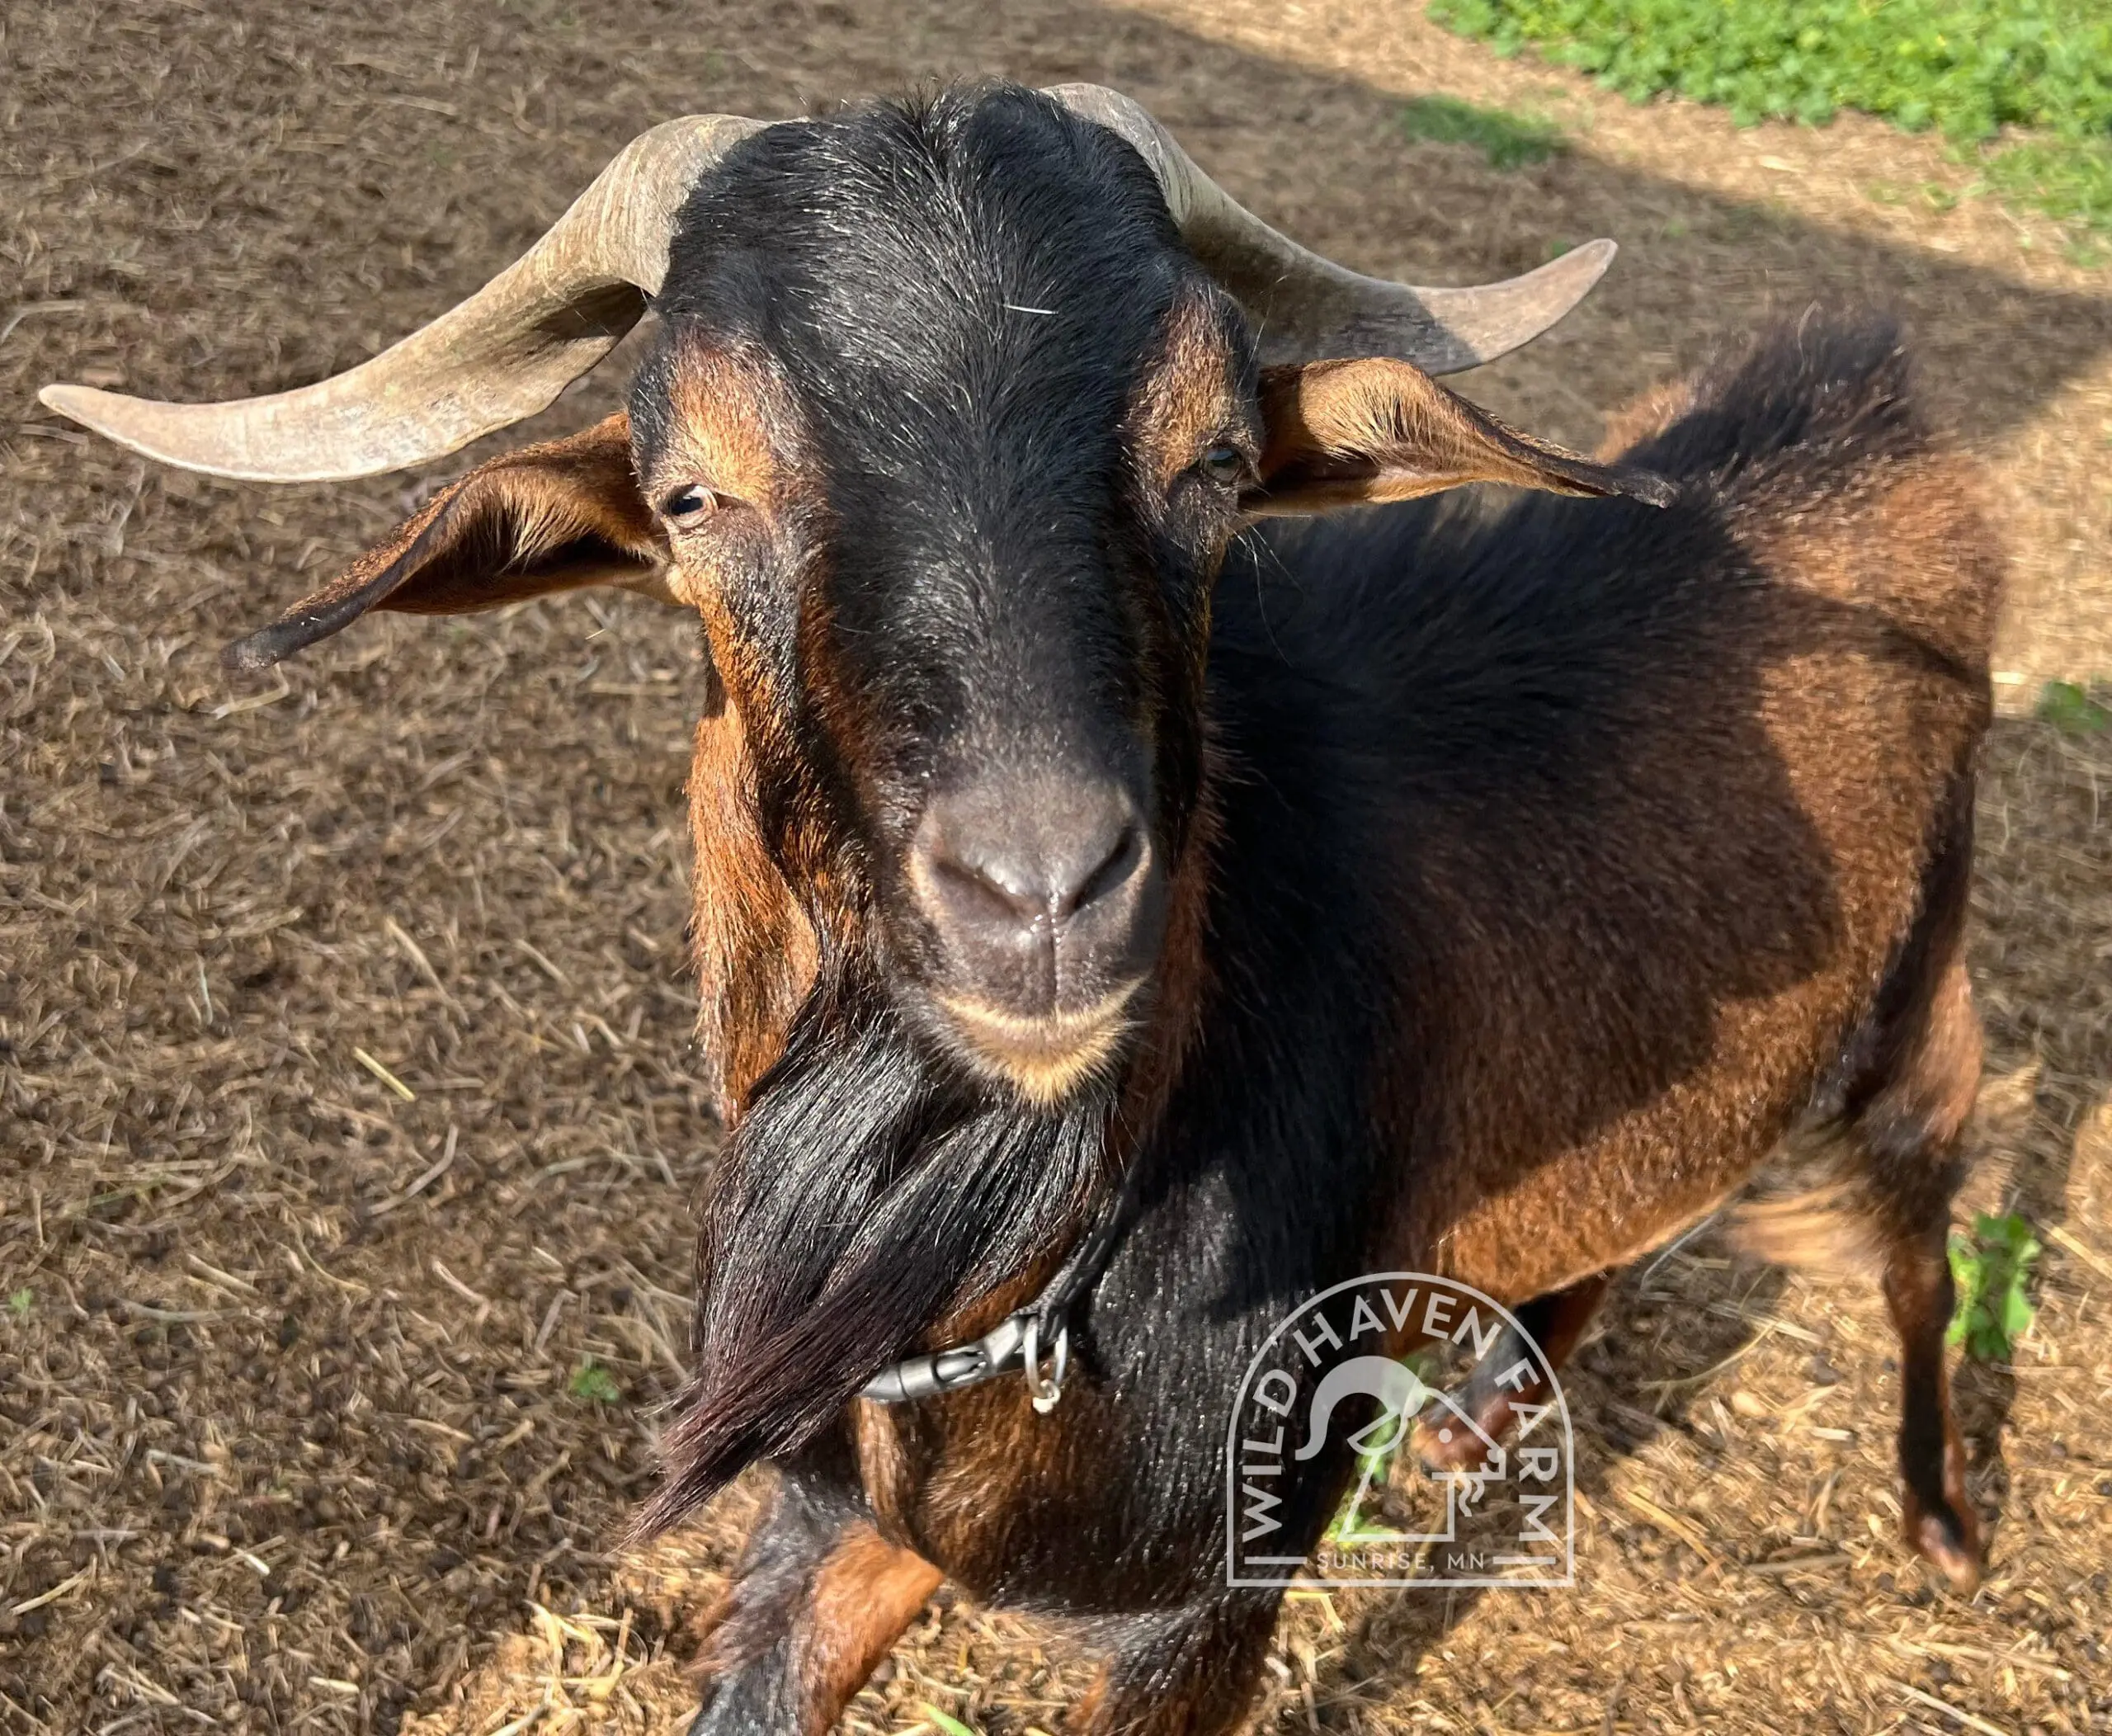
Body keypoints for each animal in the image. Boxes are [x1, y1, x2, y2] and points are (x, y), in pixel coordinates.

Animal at [45, 81, 1993, 1736]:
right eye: (691, 492)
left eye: (1217, 460)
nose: (1039, 894)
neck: (1015, 1276)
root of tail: (1871, 399)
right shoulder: (828, 1524)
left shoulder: (1211, 1598)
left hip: (1919, 995)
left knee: (1923, 1218)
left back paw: (1938, 1514)